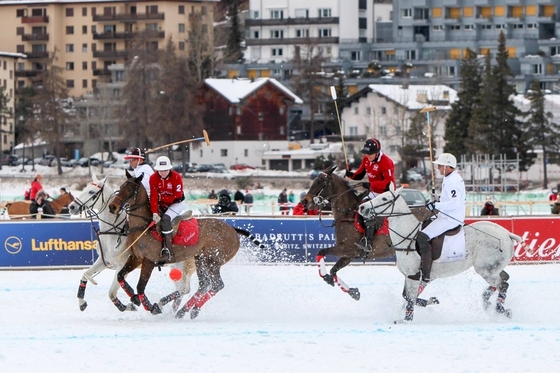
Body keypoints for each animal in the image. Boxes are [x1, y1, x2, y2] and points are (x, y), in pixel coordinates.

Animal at [69, 174, 196, 310]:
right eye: (85, 188)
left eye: (91, 192)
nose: (71, 207)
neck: (115, 231)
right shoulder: (104, 260)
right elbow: (85, 275)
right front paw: (82, 303)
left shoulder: (122, 264)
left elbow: (112, 293)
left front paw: (132, 303)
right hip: (176, 265)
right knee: (183, 289)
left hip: (184, 265)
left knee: (184, 289)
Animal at [110, 170, 266, 318]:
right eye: (121, 187)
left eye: (131, 190)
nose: (112, 207)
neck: (143, 227)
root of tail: (233, 230)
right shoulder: (135, 258)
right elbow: (120, 276)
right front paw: (134, 298)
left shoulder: (149, 261)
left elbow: (140, 286)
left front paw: (152, 307)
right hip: (200, 259)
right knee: (204, 285)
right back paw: (183, 311)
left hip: (213, 260)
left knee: (216, 284)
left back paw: (192, 310)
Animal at [360, 185, 524, 322]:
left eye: (384, 198)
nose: (362, 207)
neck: (407, 236)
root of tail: (508, 234)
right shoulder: (414, 276)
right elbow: (407, 296)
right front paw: (431, 301)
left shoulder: (414, 276)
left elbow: (410, 299)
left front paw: (406, 320)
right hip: (493, 267)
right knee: (504, 279)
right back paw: (487, 302)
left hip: (485, 268)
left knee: (503, 285)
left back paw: (501, 310)